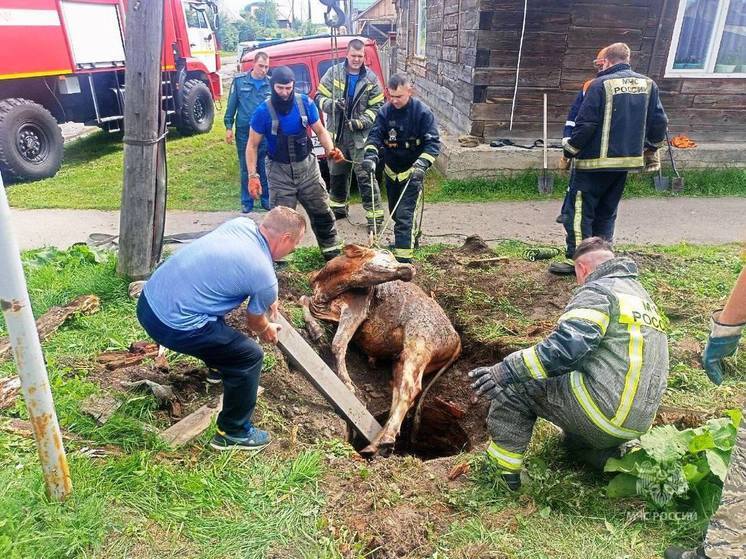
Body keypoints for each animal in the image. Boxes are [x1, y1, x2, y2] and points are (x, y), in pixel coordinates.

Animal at [296, 247, 460, 458]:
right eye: (385, 253)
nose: (410, 268)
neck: (327, 283)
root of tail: (456, 336)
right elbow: (304, 299)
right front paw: (315, 330)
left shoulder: (356, 309)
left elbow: (338, 343)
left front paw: (347, 383)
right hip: (402, 360)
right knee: (399, 391)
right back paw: (375, 444)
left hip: (418, 345)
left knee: (410, 390)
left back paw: (386, 439)